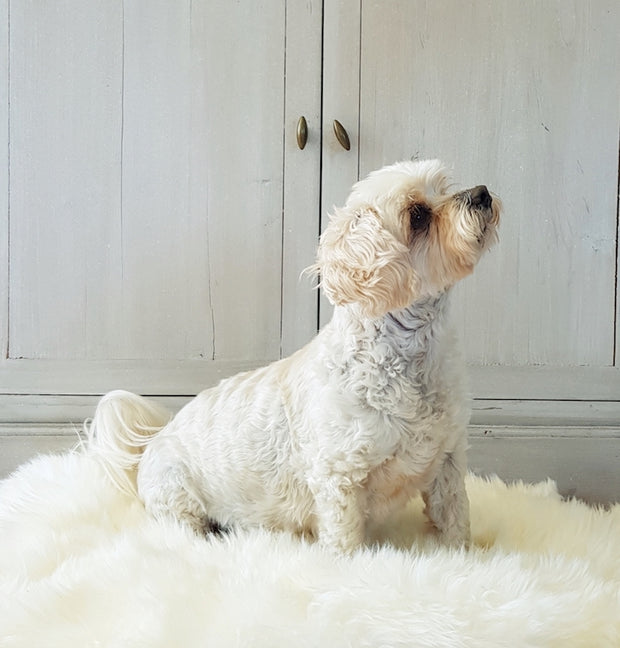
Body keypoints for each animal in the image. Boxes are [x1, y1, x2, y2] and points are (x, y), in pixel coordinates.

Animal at [89, 159, 502, 556]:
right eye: (417, 215)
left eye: (445, 187)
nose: (482, 192)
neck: (409, 357)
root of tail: (152, 441)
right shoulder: (339, 477)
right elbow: (344, 539)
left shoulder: (447, 459)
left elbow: (454, 519)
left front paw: (462, 560)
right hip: (177, 497)